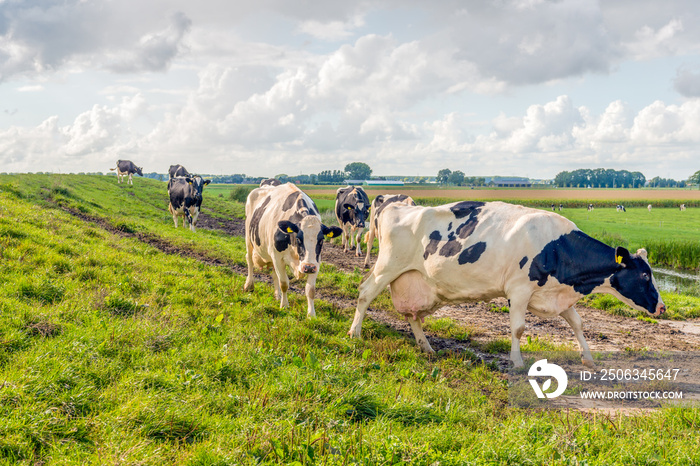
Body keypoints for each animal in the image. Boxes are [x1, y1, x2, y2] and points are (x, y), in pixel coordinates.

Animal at [245, 182, 344, 316]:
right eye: (298, 239)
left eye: (321, 240)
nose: (308, 267)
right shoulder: (277, 257)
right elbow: (284, 283)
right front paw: (284, 306)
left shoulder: (316, 261)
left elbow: (310, 289)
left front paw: (311, 314)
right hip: (248, 237)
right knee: (249, 260)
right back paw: (249, 285)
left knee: (274, 273)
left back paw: (277, 295)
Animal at [350, 200, 668, 368]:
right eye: (644, 276)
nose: (663, 307)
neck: (557, 246)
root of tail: (396, 205)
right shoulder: (519, 290)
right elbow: (518, 328)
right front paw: (517, 362)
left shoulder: (557, 295)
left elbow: (578, 324)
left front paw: (588, 358)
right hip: (388, 266)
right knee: (365, 293)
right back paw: (355, 334)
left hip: (421, 284)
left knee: (413, 315)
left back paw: (426, 347)